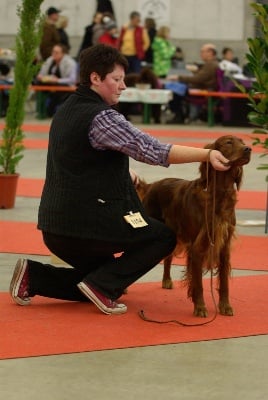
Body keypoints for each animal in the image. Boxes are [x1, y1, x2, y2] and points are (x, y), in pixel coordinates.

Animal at [136, 136, 251, 318]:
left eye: (242, 142)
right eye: (228, 142)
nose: (248, 149)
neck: (219, 194)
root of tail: (152, 185)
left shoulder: (224, 248)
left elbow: (224, 282)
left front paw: (225, 306)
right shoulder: (198, 247)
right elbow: (198, 283)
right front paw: (200, 307)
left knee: (168, 258)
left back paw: (166, 280)